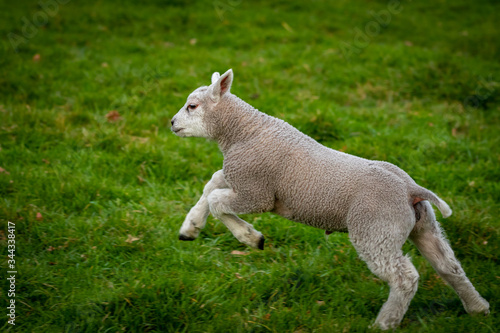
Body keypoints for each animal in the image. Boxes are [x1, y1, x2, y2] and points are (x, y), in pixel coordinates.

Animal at [171, 68, 488, 328]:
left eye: (192, 106)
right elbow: (211, 185)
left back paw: (384, 323)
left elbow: (217, 200)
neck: (243, 132)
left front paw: (251, 237)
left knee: (405, 277)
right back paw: (478, 308)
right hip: (422, 225)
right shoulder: (238, 176)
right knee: (449, 265)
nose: (172, 123)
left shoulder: (256, 192)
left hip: (375, 229)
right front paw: (190, 228)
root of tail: (410, 189)